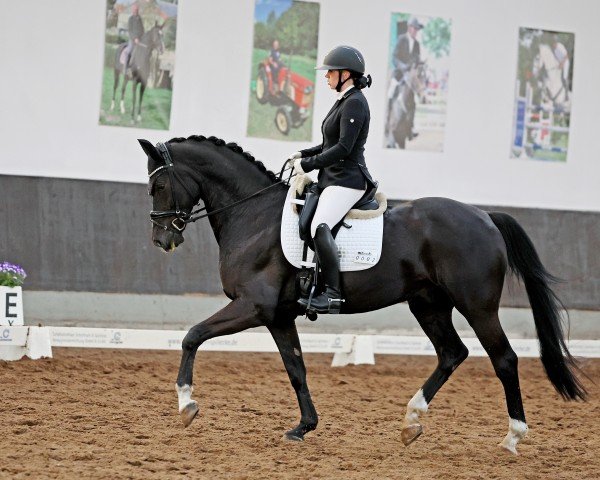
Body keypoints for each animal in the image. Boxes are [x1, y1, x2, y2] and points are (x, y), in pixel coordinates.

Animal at [138, 134, 584, 454]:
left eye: (158, 184)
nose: (161, 240)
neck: (253, 216)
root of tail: (485, 216)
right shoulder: (278, 316)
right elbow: (296, 369)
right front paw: (303, 427)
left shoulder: (252, 306)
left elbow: (192, 335)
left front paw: (186, 405)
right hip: (428, 304)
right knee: (452, 353)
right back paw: (411, 422)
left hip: (477, 306)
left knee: (504, 359)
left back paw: (512, 437)